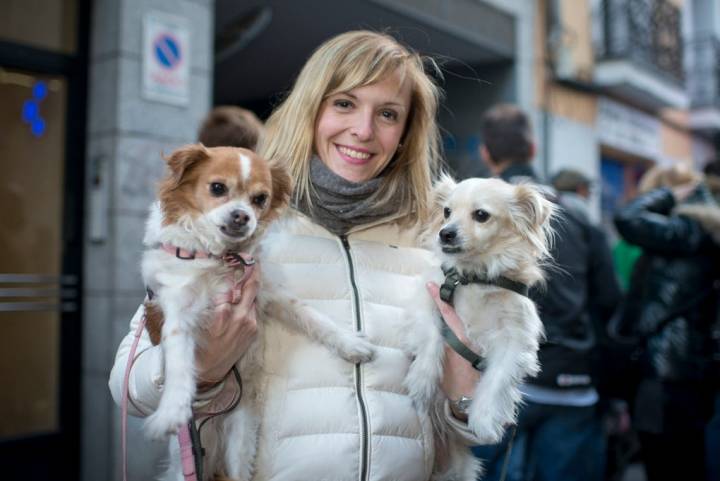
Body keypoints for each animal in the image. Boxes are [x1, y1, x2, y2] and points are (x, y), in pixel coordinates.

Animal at [141, 143, 376, 480]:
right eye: (217, 188)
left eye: (260, 199)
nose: (242, 216)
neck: (223, 259)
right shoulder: (178, 312)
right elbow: (178, 363)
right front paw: (171, 410)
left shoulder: (269, 294)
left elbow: (312, 316)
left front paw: (351, 344)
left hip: (240, 442)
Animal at [402, 176, 556, 480]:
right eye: (447, 212)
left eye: (481, 215)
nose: (445, 233)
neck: (473, 278)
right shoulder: (427, 298)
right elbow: (431, 337)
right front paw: (423, 379)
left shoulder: (516, 341)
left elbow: (497, 380)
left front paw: (484, 420)